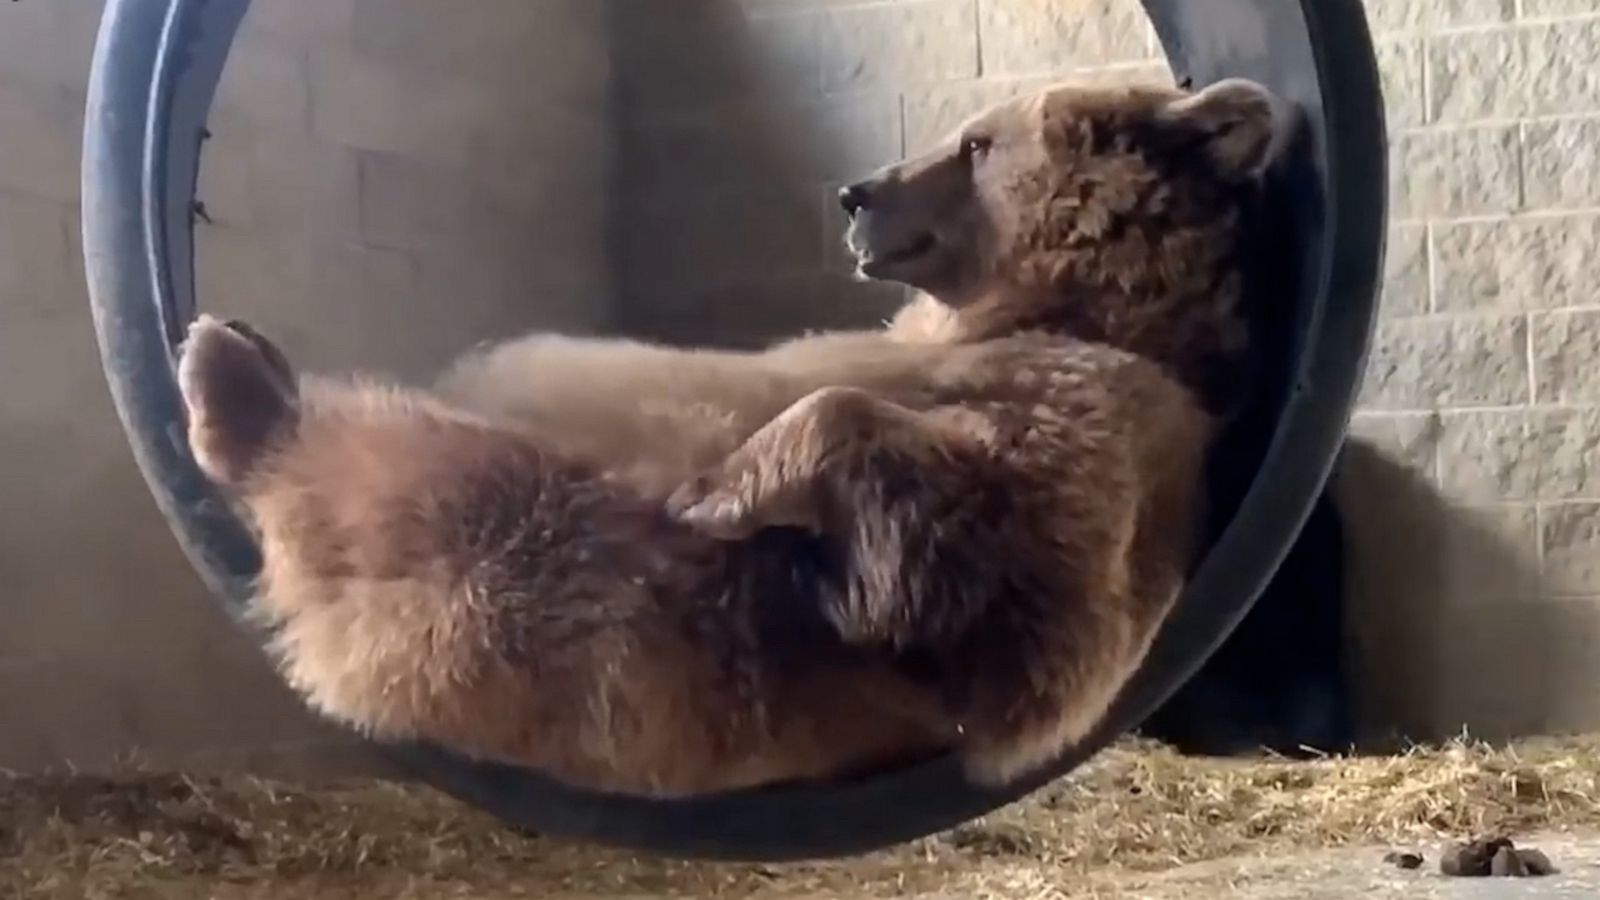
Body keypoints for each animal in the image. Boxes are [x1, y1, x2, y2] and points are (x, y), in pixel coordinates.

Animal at [175, 75, 1280, 791]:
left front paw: (725, 486)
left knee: (401, 491)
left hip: (536, 583)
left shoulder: (1105, 438)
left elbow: (1003, 574)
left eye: (976, 143)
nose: (859, 192)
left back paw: (234, 379)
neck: (1064, 304)